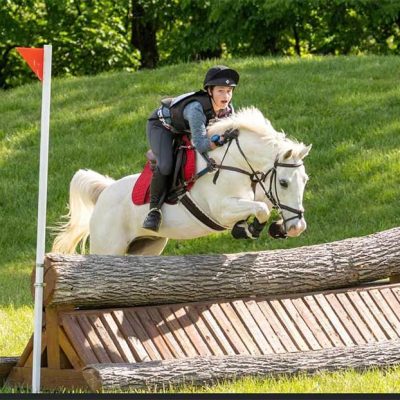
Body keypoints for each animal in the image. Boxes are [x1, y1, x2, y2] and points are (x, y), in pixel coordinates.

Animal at [51, 107, 310, 256]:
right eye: (284, 183)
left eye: (305, 181)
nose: (298, 228)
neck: (236, 162)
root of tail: (104, 192)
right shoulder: (222, 210)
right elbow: (262, 208)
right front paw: (250, 229)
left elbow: (265, 203)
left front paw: (276, 227)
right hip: (108, 247)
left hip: (146, 246)